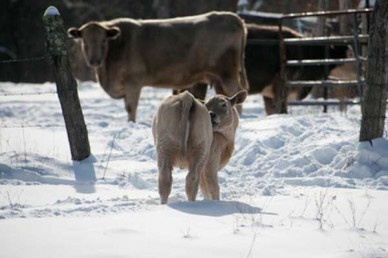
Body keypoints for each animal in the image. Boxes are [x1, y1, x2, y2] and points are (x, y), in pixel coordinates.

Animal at [67, 11, 249, 122]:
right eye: (84, 41)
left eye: (103, 41)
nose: (94, 61)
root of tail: (232, 17)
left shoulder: (133, 81)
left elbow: (130, 107)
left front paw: (131, 123)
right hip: (218, 78)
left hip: (227, 73)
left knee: (236, 95)